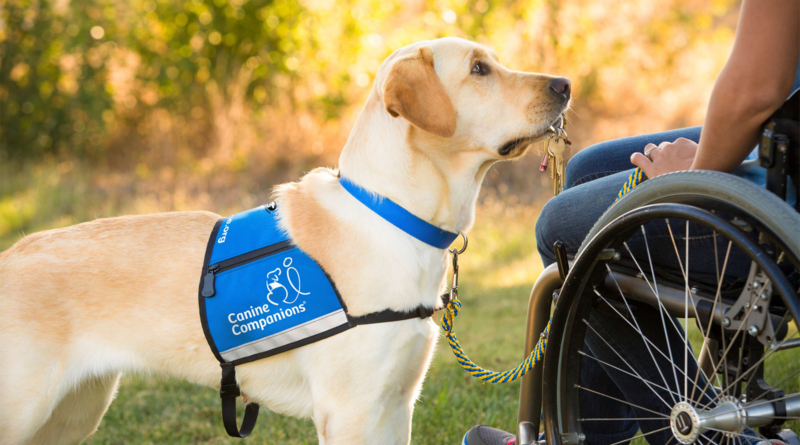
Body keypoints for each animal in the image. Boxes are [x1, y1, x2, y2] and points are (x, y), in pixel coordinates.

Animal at [0, 36, 568, 442]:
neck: (394, 216)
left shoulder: (394, 405)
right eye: (478, 70)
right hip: (28, 409)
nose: (564, 84)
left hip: (74, 412)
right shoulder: (351, 411)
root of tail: (11, 254)